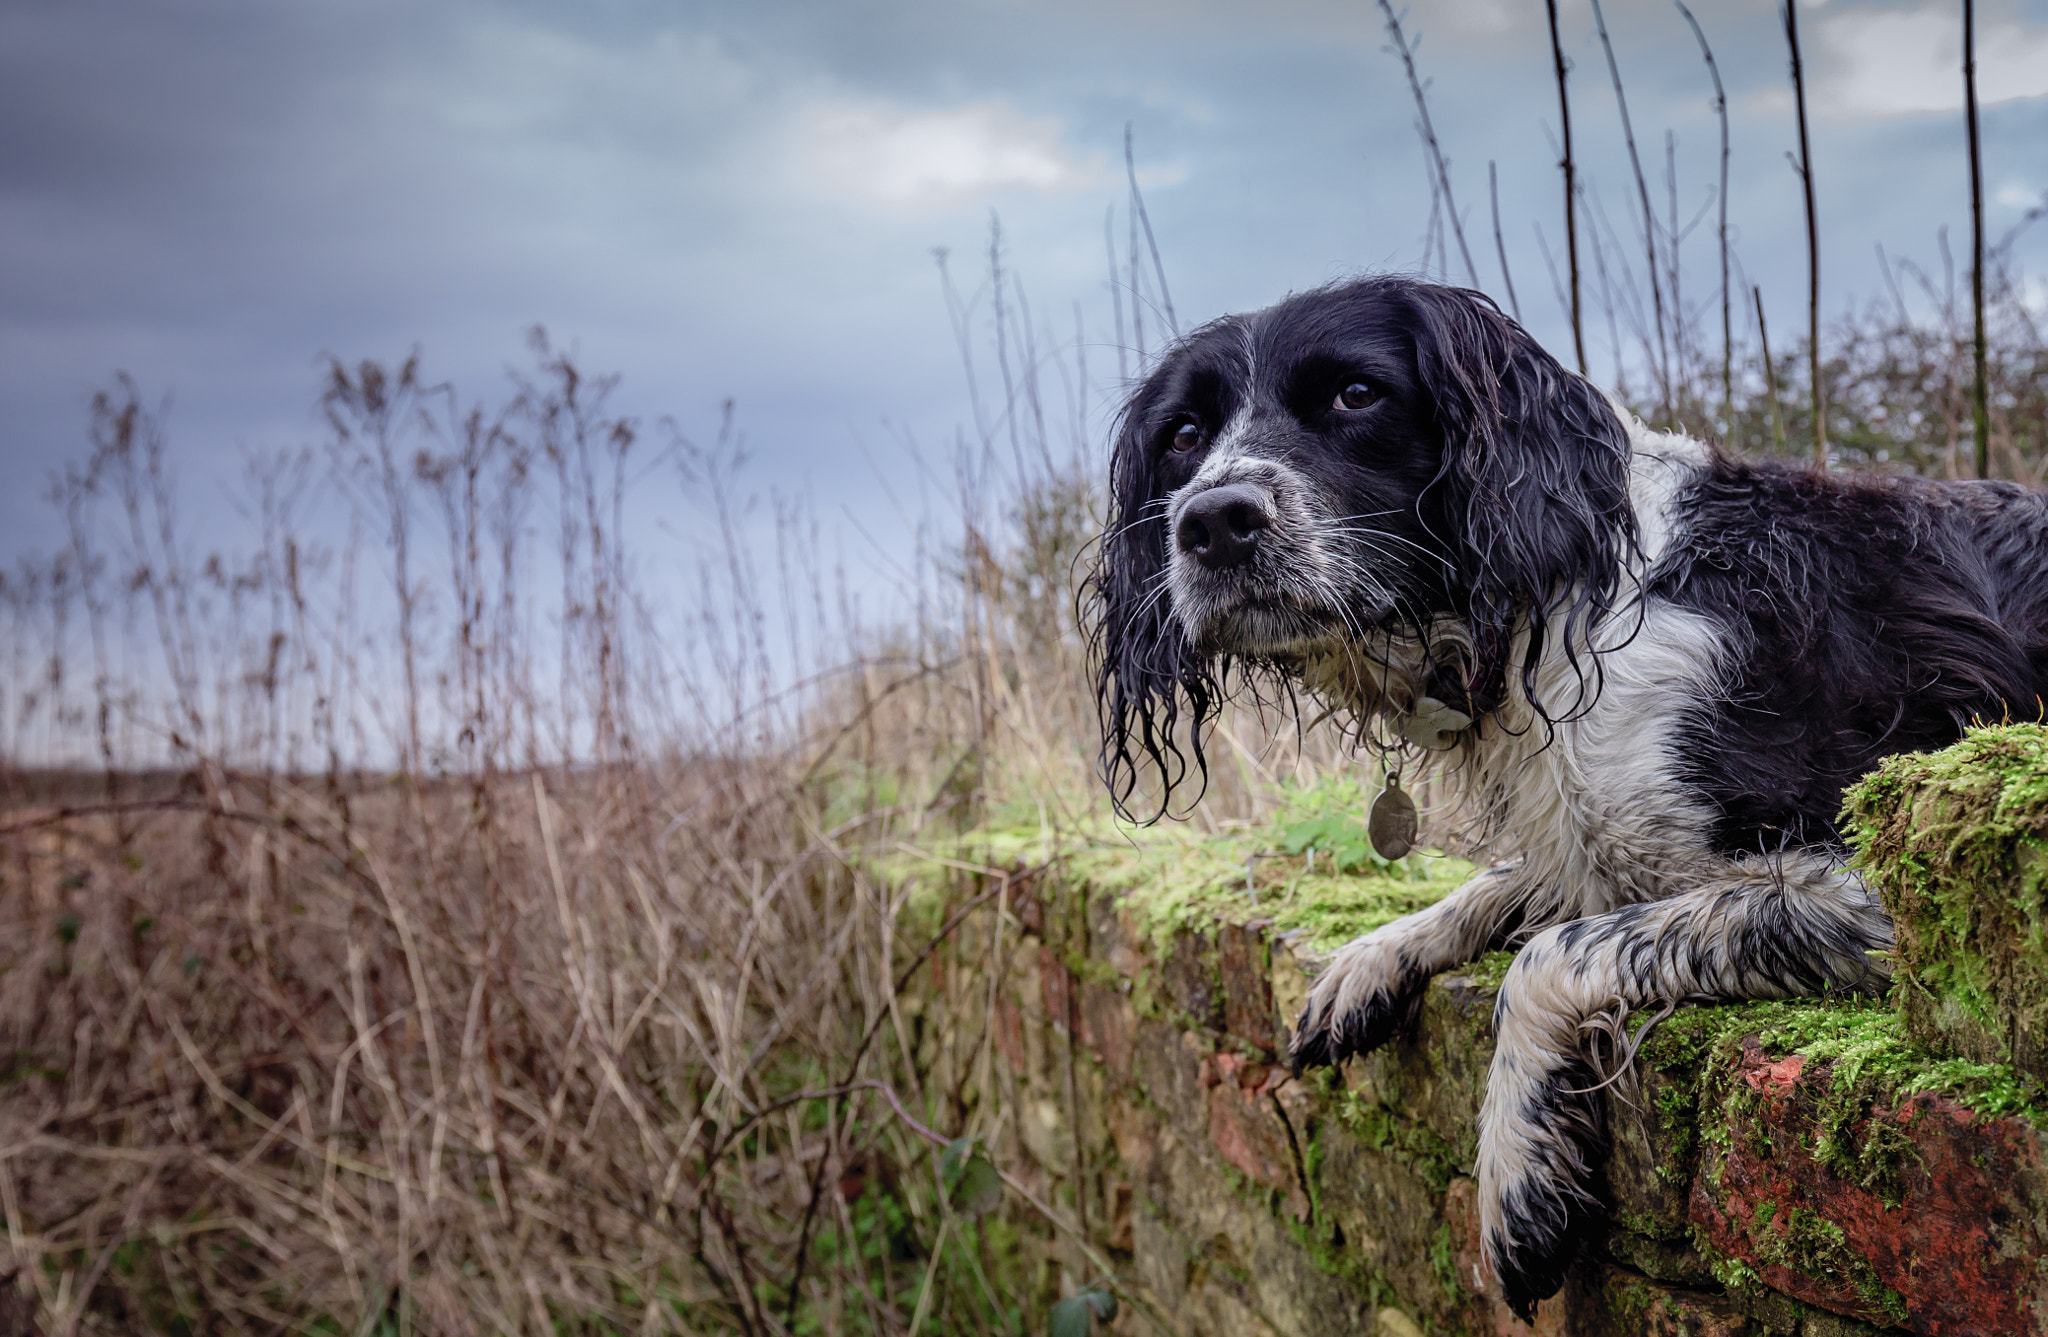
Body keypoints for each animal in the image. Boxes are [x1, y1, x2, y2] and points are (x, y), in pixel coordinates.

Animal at [1089, 276, 2048, 1318]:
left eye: (1354, 394)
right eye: (1184, 433)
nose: (1213, 522)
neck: (1546, 608)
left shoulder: (1877, 876)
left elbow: (1552, 951)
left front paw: (1515, 1173)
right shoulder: (1578, 824)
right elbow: (1515, 876)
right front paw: (1371, 957)